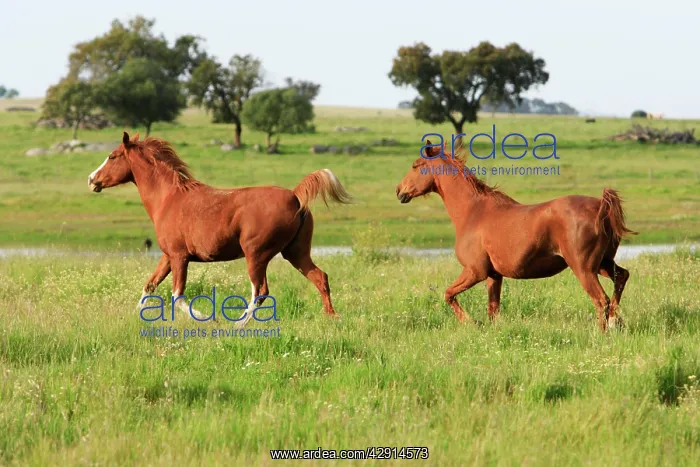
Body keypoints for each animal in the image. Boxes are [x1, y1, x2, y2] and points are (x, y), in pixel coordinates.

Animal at [88, 132, 353, 327]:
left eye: (112, 156)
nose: (91, 180)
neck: (168, 199)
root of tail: (296, 197)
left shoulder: (179, 257)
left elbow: (177, 296)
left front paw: (209, 318)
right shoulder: (167, 256)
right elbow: (150, 285)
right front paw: (133, 316)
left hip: (256, 254)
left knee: (260, 291)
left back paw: (238, 325)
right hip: (295, 252)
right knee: (319, 277)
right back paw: (332, 317)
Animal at [395, 141, 638, 332]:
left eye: (415, 165)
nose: (399, 191)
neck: (473, 212)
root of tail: (601, 206)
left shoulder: (475, 271)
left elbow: (448, 294)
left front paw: (471, 323)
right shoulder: (494, 276)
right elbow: (493, 310)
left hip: (584, 269)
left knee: (601, 300)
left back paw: (603, 333)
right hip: (603, 263)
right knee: (621, 278)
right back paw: (616, 322)